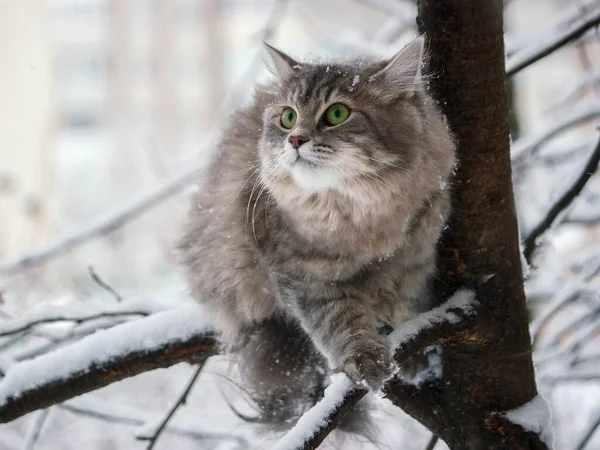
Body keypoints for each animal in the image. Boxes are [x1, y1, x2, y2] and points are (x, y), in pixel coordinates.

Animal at [178, 36, 454, 432]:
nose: (295, 139)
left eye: (337, 114)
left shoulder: (415, 262)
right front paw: (366, 360)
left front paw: (417, 359)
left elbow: (409, 306)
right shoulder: (301, 277)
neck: (362, 219)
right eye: (288, 116)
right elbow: (339, 323)